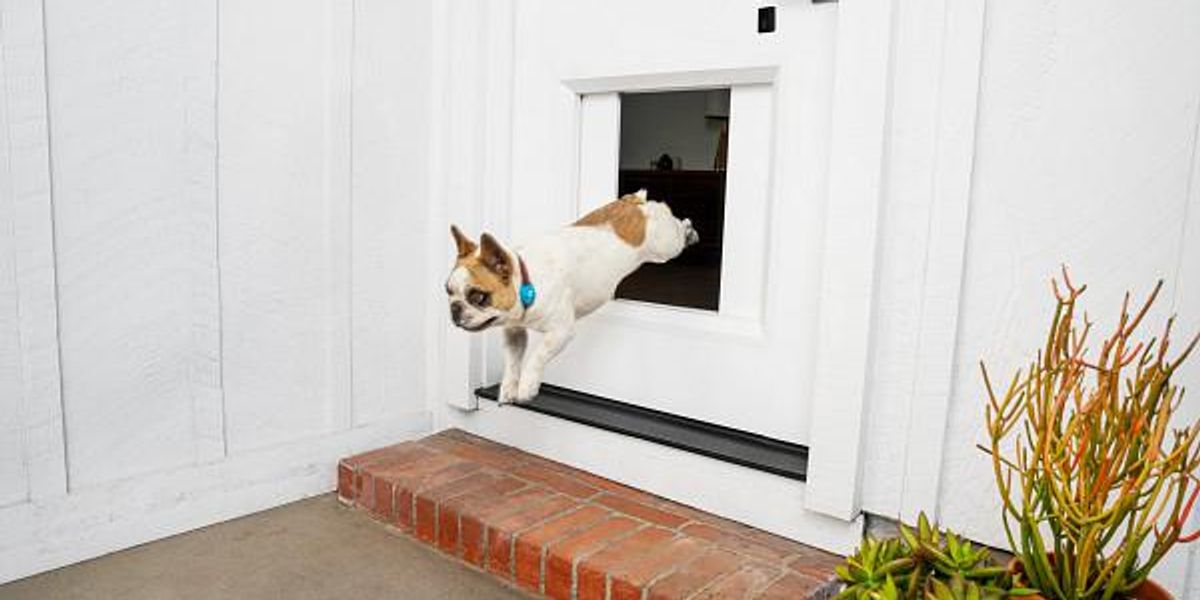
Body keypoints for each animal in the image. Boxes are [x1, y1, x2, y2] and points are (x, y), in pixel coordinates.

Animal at [446, 189, 700, 405]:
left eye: (478, 297)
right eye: (447, 291)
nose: (454, 309)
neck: (528, 281)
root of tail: (632, 202)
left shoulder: (560, 332)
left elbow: (537, 356)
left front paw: (527, 386)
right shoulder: (514, 334)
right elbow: (513, 362)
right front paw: (508, 388)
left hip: (665, 245)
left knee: (676, 225)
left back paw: (689, 231)